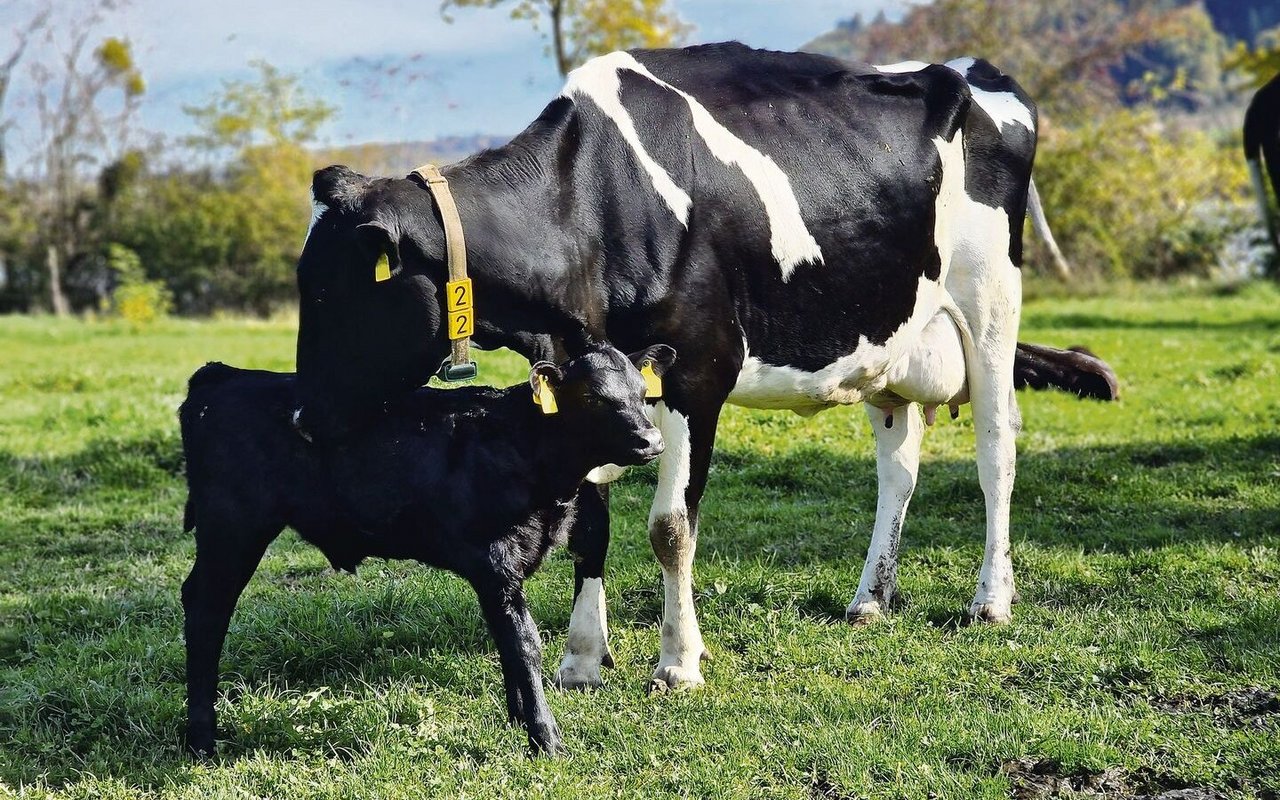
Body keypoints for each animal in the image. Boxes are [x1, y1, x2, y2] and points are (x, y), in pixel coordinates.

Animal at [183, 340, 680, 752]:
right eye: (592, 397)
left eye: (643, 392)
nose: (652, 440)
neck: (524, 445)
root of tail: (224, 375)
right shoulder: (495, 562)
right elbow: (526, 644)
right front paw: (546, 738)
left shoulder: (501, 573)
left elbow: (508, 641)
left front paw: (520, 720)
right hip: (232, 527)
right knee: (205, 607)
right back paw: (201, 738)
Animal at [293, 43, 1121, 691]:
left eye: (336, 293)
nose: (300, 419)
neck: (591, 207)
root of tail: (973, 70)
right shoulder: (592, 385)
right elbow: (590, 521)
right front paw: (582, 659)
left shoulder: (699, 374)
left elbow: (670, 528)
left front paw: (678, 663)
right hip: (887, 339)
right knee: (900, 466)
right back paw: (870, 598)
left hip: (991, 308)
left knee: (996, 452)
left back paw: (991, 599)